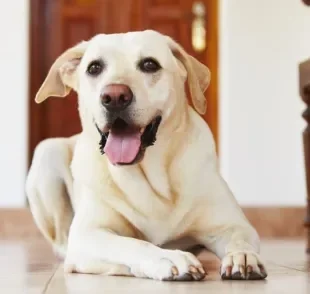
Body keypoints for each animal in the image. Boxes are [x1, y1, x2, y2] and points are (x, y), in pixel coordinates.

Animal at [26, 30, 266, 282]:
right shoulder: (87, 234)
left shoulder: (233, 224)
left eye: (150, 64)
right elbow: (131, 244)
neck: (151, 178)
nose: (114, 96)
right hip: (47, 153)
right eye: (94, 68)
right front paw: (170, 258)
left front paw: (243, 256)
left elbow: (239, 239)